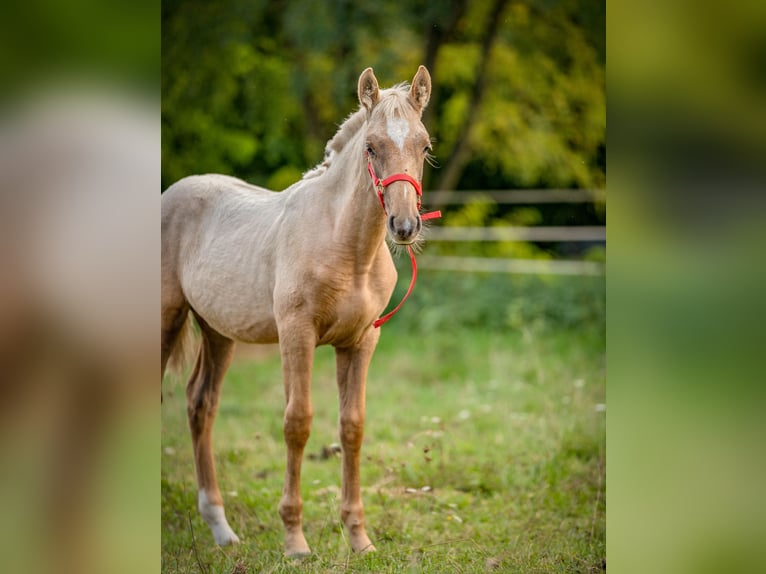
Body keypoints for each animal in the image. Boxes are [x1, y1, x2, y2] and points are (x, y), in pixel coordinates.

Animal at [160, 67, 438, 560]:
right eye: (371, 147)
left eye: (423, 145)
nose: (404, 227)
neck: (346, 248)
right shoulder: (297, 334)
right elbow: (297, 423)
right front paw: (294, 540)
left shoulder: (361, 341)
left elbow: (352, 427)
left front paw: (358, 537)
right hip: (165, 315)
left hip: (218, 332)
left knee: (200, 404)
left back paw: (221, 529)